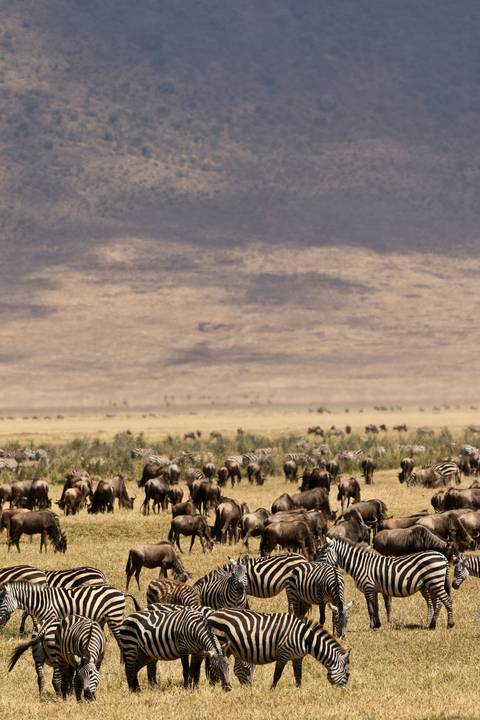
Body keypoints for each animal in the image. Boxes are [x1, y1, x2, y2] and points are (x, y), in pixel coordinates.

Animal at [0, 582, 140, 653]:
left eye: (1, 601)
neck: (41, 601)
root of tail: (120, 592)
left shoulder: (52, 617)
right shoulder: (42, 620)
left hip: (114, 616)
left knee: (120, 639)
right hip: (103, 618)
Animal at [207, 609, 350, 688]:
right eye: (348, 674)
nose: (347, 693)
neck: (304, 638)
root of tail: (213, 613)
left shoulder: (297, 657)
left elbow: (298, 676)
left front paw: (299, 691)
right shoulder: (283, 653)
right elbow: (277, 675)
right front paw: (272, 690)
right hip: (220, 643)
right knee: (213, 665)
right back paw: (214, 687)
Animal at [318, 537, 454, 630]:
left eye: (323, 552)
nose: (315, 563)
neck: (361, 565)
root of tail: (442, 556)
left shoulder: (368, 587)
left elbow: (370, 609)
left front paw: (372, 626)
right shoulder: (374, 589)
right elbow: (376, 608)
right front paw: (377, 624)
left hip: (435, 581)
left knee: (447, 601)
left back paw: (450, 624)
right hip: (430, 584)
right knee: (436, 603)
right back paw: (432, 625)